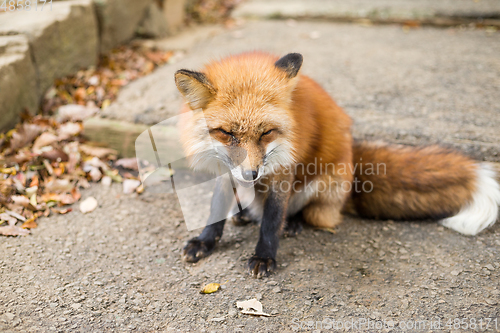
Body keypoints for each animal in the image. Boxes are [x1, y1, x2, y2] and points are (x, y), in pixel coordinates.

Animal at [173, 51, 500, 274]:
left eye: (266, 132)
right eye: (227, 133)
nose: (250, 174)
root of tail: (353, 160)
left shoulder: (282, 171)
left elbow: (271, 219)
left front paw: (265, 255)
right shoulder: (224, 169)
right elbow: (216, 210)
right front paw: (205, 242)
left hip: (323, 189)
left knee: (309, 215)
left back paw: (292, 224)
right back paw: (243, 214)